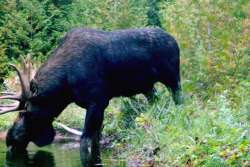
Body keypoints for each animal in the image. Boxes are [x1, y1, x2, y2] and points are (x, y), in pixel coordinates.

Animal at [0, 27, 182, 166]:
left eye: (24, 113)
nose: (9, 140)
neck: (65, 86)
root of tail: (175, 42)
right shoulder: (99, 106)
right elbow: (96, 139)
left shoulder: (97, 102)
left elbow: (85, 140)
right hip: (148, 87)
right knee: (155, 102)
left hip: (173, 77)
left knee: (179, 100)